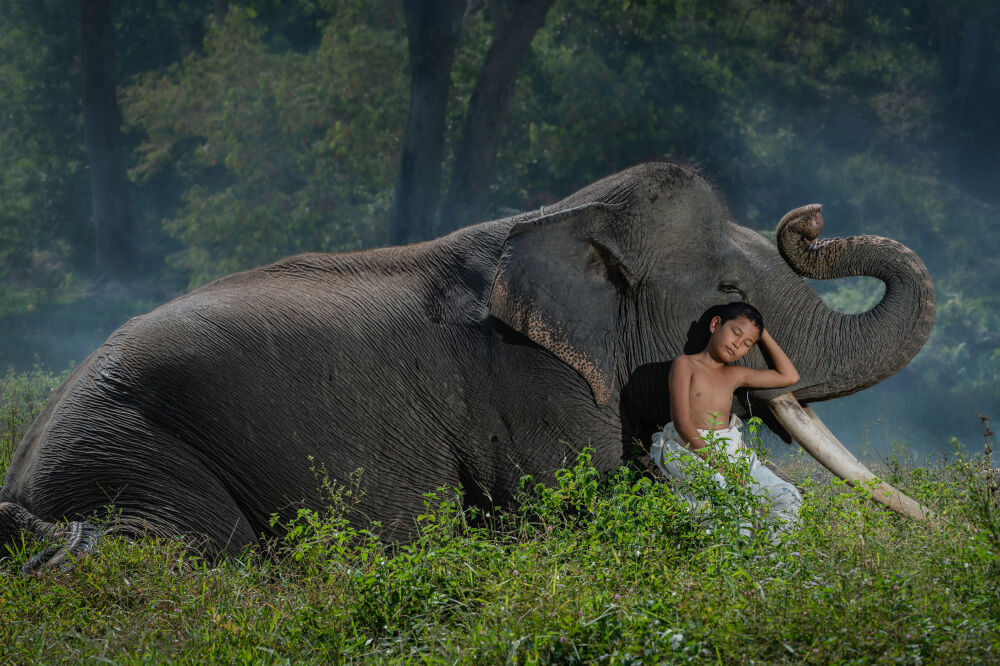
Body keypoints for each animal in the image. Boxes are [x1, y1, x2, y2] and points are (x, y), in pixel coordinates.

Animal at [1, 162, 936, 564]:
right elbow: (578, 510)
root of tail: (23, 462)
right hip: (132, 458)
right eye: (730, 290)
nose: (808, 218)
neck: (563, 215)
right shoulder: (526, 385)